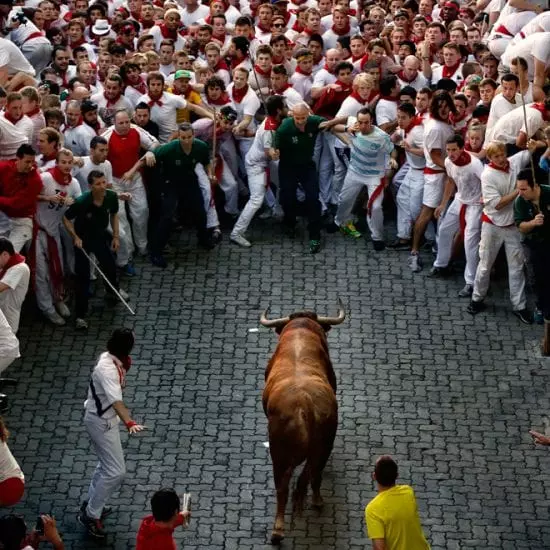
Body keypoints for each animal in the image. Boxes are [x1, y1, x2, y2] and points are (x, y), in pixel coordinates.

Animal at [262, 302, 344, 548]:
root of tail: (305, 402)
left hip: (280, 452)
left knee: (284, 485)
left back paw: (279, 530)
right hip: (323, 444)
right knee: (312, 473)